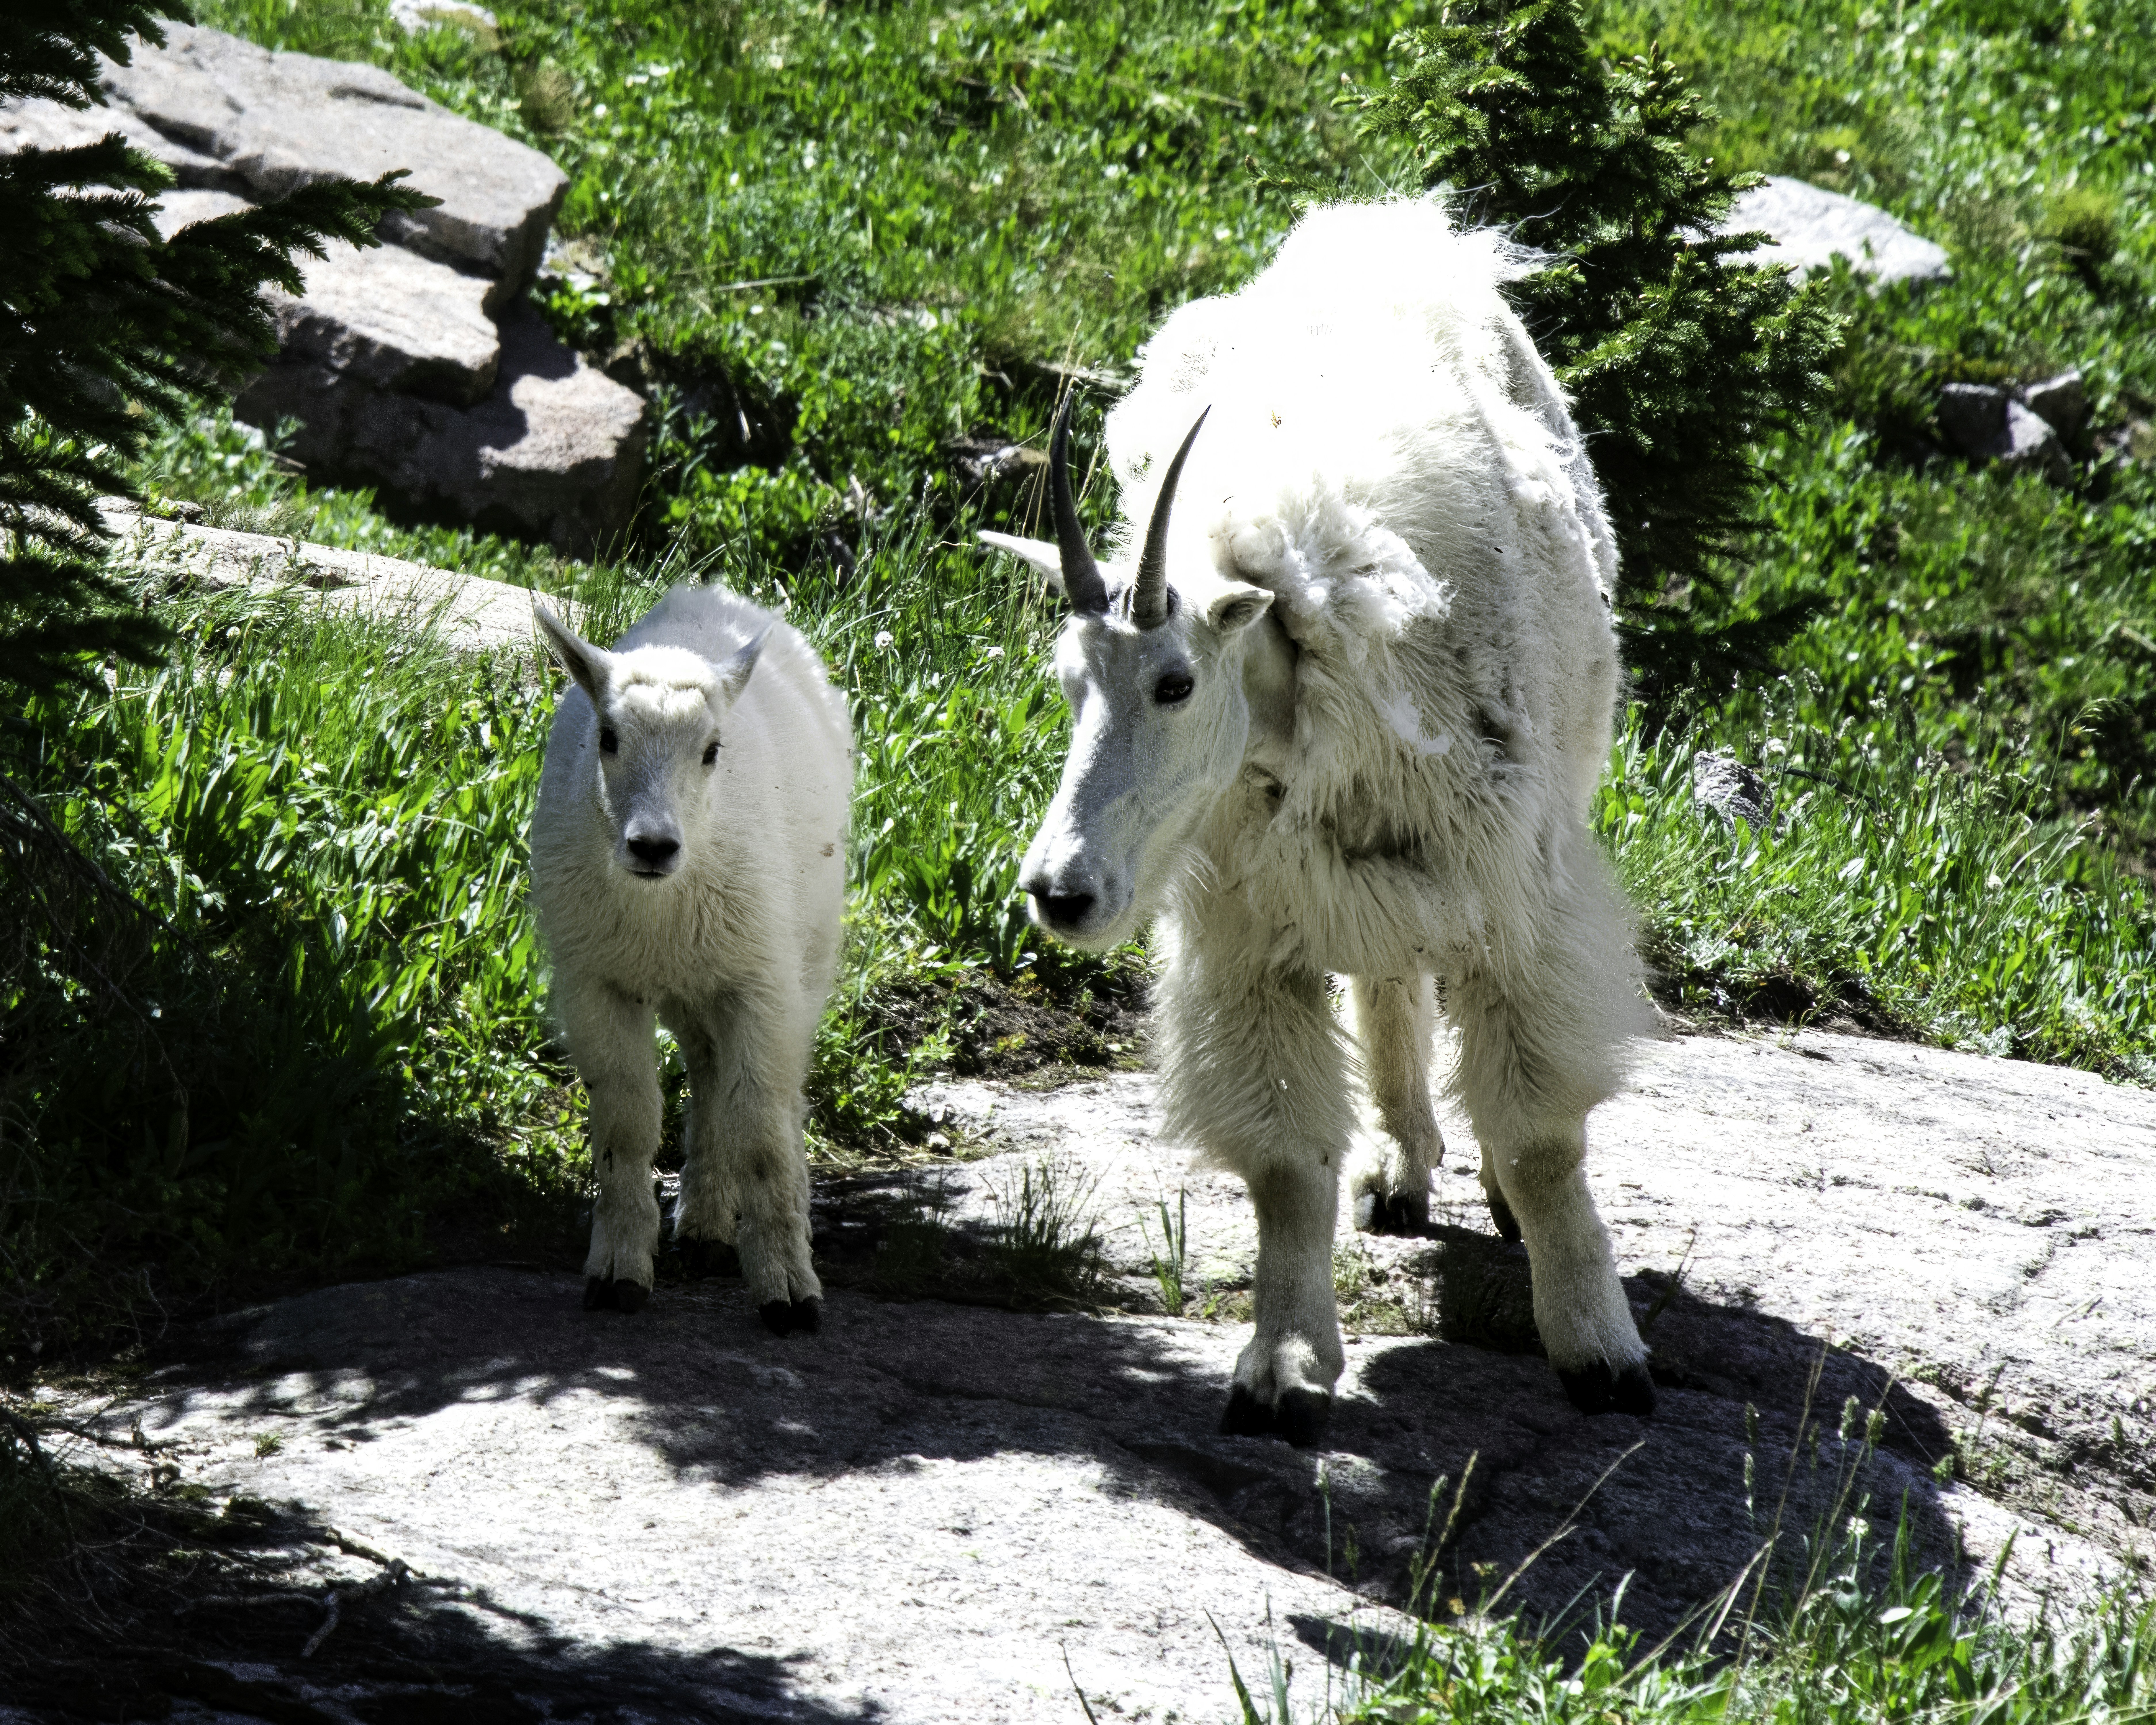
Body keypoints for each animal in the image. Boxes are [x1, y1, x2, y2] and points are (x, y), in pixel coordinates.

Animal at [530, 585, 849, 1335]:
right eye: (608, 739)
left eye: (712, 751)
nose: (653, 846)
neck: (660, 902)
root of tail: (711, 593)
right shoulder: (596, 982)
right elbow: (625, 1123)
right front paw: (619, 1272)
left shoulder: (761, 981)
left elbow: (761, 1125)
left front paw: (788, 1291)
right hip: (693, 982)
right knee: (708, 1074)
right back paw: (703, 1223)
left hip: (799, 957)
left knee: (773, 1093)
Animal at [983, 198, 1655, 1444]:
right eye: (1066, 681)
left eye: (1174, 683)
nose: (1059, 891)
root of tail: (1400, 227)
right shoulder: (1250, 928)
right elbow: (1287, 1165)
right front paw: (1283, 1370)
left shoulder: (1512, 894)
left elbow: (1543, 1140)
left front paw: (1600, 1356)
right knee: (1387, 978)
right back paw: (1398, 1168)